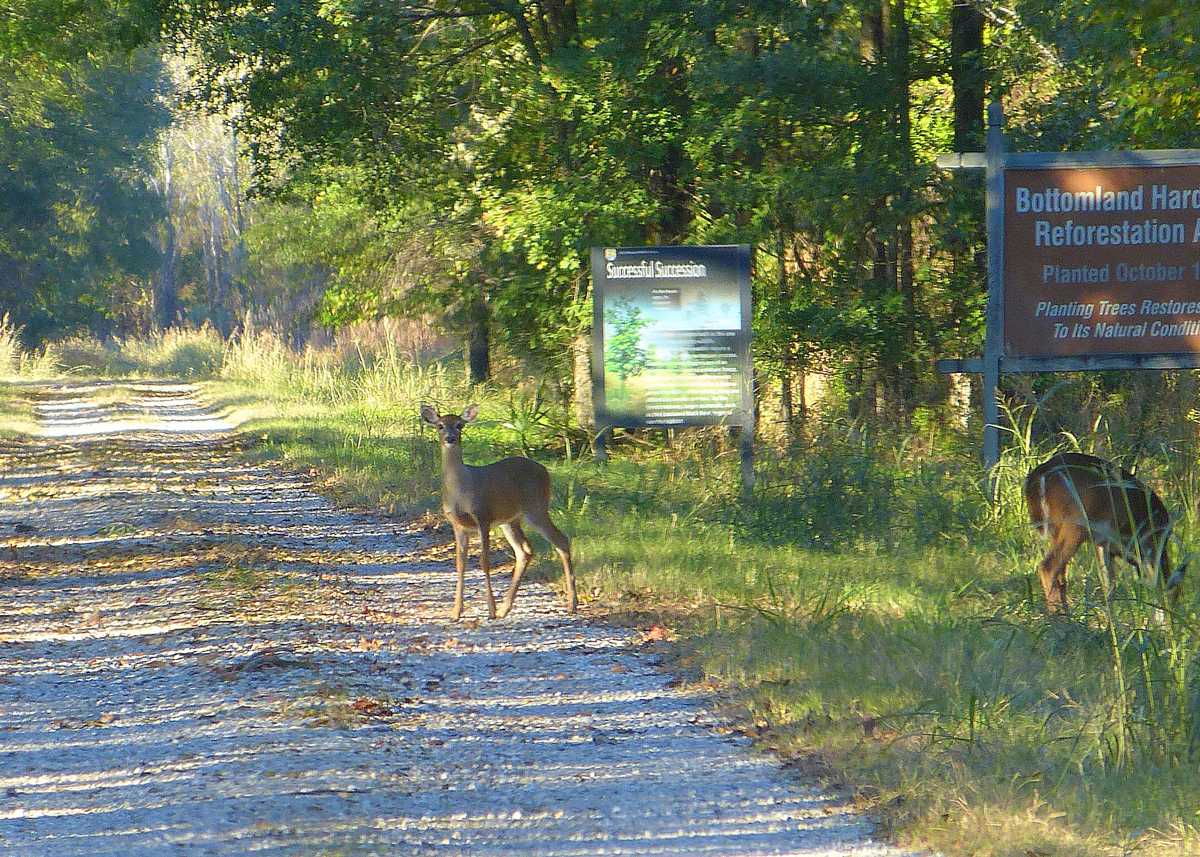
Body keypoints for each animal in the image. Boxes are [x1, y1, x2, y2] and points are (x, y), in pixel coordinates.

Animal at [420, 403, 578, 619]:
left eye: (460, 425)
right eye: (440, 425)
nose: (450, 438)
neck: (460, 491)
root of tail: (545, 470)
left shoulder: (483, 516)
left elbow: (484, 561)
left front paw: (491, 609)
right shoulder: (457, 524)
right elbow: (460, 564)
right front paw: (456, 611)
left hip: (536, 507)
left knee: (561, 540)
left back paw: (572, 604)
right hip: (510, 520)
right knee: (525, 550)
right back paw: (506, 608)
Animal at [1027, 451, 1185, 609]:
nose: (1173, 614)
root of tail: (1038, 475)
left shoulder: (1104, 544)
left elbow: (1109, 586)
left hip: (1058, 529)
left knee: (1061, 576)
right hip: (1076, 523)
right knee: (1048, 567)